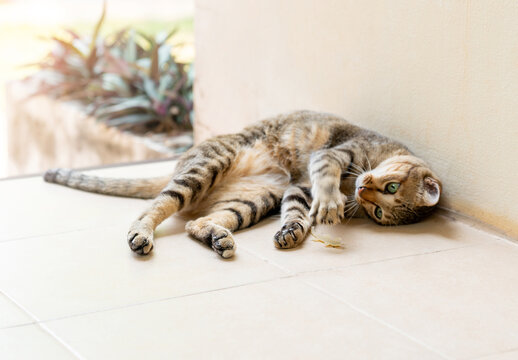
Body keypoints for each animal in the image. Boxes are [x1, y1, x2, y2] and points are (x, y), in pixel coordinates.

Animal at [43, 111, 442, 258]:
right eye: (391, 189)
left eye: (379, 212)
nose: (361, 191)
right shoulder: (331, 156)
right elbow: (323, 181)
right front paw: (329, 206)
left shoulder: (295, 188)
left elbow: (296, 213)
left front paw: (294, 231)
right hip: (207, 167)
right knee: (155, 206)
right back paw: (141, 235)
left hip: (255, 199)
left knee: (197, 222)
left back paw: (219, 239)